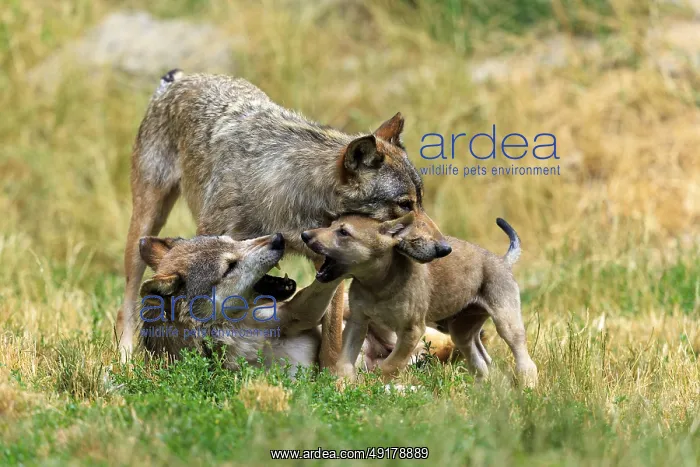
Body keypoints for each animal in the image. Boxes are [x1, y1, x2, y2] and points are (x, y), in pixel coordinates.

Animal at [117, 70, 451, 366]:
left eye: (420, 202)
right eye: (404, 205)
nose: (444, 249)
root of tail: (180, 78)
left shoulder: (326, 265)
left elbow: (332, 340)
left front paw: (331, 379)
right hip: (143, 228)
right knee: (127, 305)